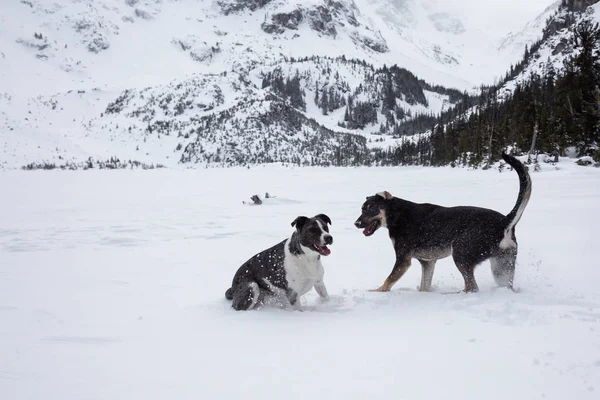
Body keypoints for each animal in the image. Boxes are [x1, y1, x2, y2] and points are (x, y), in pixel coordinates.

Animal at [354, 153, 532, 294]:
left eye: (371, 209)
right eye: (362, 209)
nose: (356, 223)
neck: (397, 215)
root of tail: (504, 222)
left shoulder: (403, 259)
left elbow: (388, 281)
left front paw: (375, 292)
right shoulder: (427, 262)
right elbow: (424, 285)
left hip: (461, 254)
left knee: (472, 287)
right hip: (502, 266)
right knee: (503, 286)